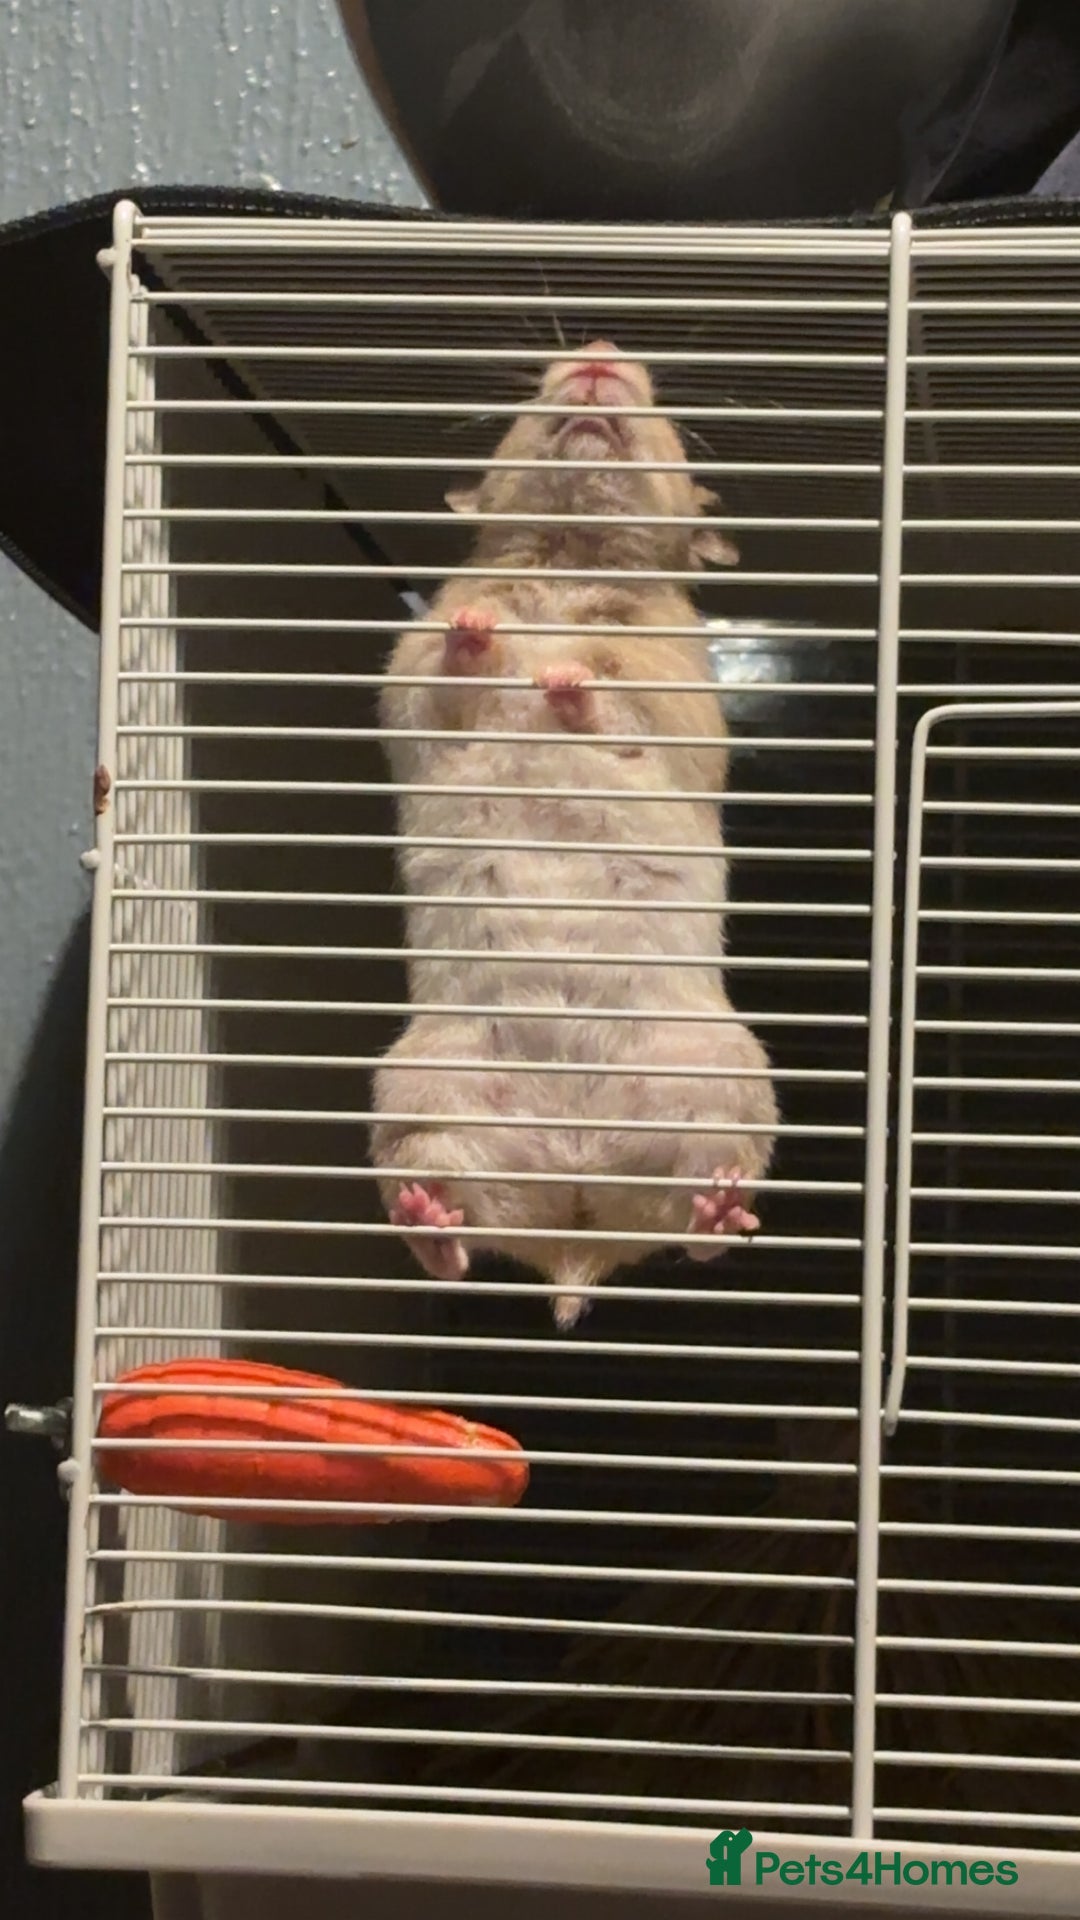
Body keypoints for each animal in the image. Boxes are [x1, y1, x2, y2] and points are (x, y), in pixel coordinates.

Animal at [370, 342, 778, 1329]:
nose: (597, 357)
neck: (569, 558)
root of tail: (576, 1227)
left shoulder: (678, 688)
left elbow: (623, 703)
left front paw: (566, 684)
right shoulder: (410, 676)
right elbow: (444, 674)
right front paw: (482, 636)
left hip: (728, 1085)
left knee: (693, 1227)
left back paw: (717, 1207)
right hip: (420, 1096)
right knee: (458, 1233)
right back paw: (428, 1219)